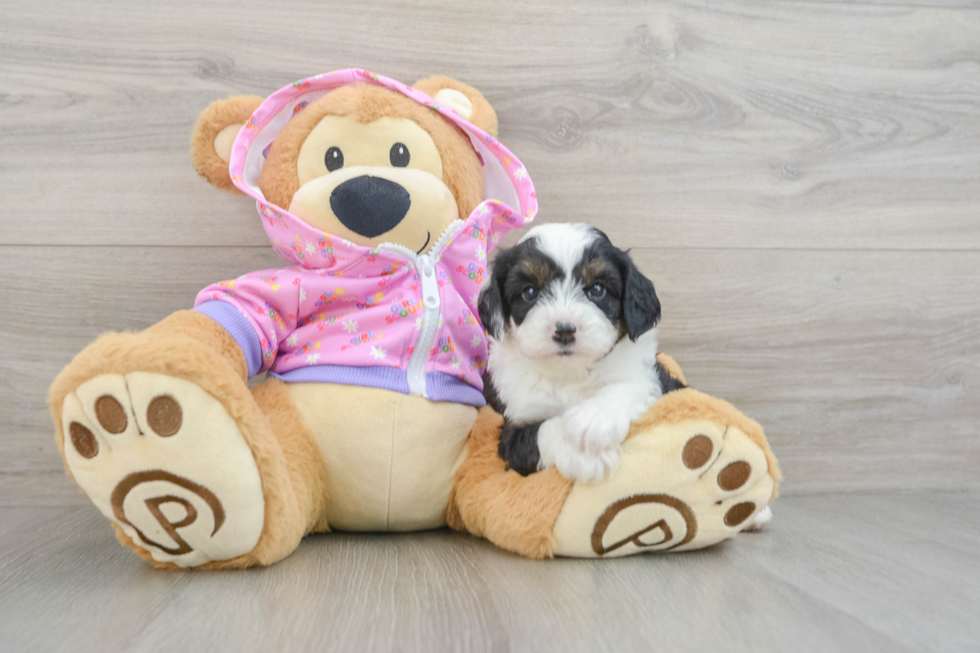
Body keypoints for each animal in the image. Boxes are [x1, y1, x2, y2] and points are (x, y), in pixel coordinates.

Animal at [478, 224, 684, 484]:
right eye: (530, 292)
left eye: (597, 289)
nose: (565, 330)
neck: (569, 373)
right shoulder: (513, 428)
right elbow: (539, 432)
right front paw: (582, 454)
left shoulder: (656, 378)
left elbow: (632, 385)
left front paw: (594, 419)